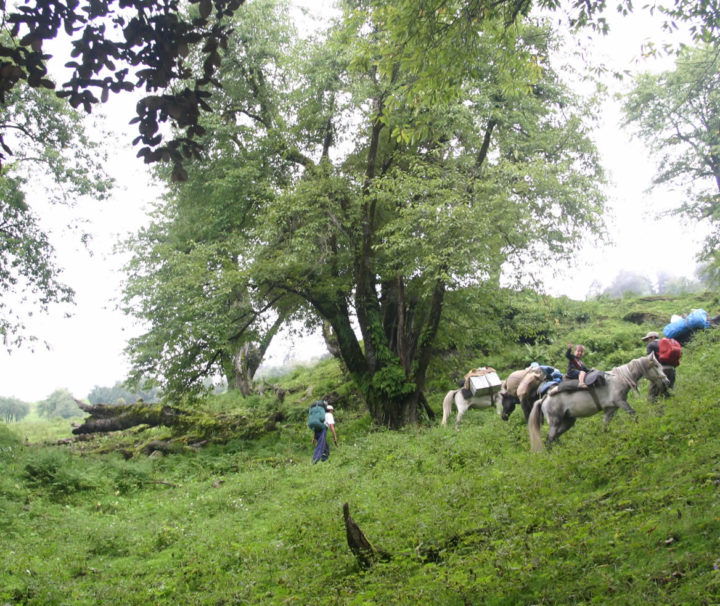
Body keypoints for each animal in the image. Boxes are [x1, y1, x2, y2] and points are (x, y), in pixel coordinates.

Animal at [528, 356, 668, 452]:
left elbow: (604, 426)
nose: (666, 380)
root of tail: (544, 398)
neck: (620, 378)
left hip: (568, 421)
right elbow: (634, 415)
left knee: (555, 437)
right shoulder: (621, 402)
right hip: (555, 422)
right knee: (549, 439)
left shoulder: (611, 409)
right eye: (656, 365)